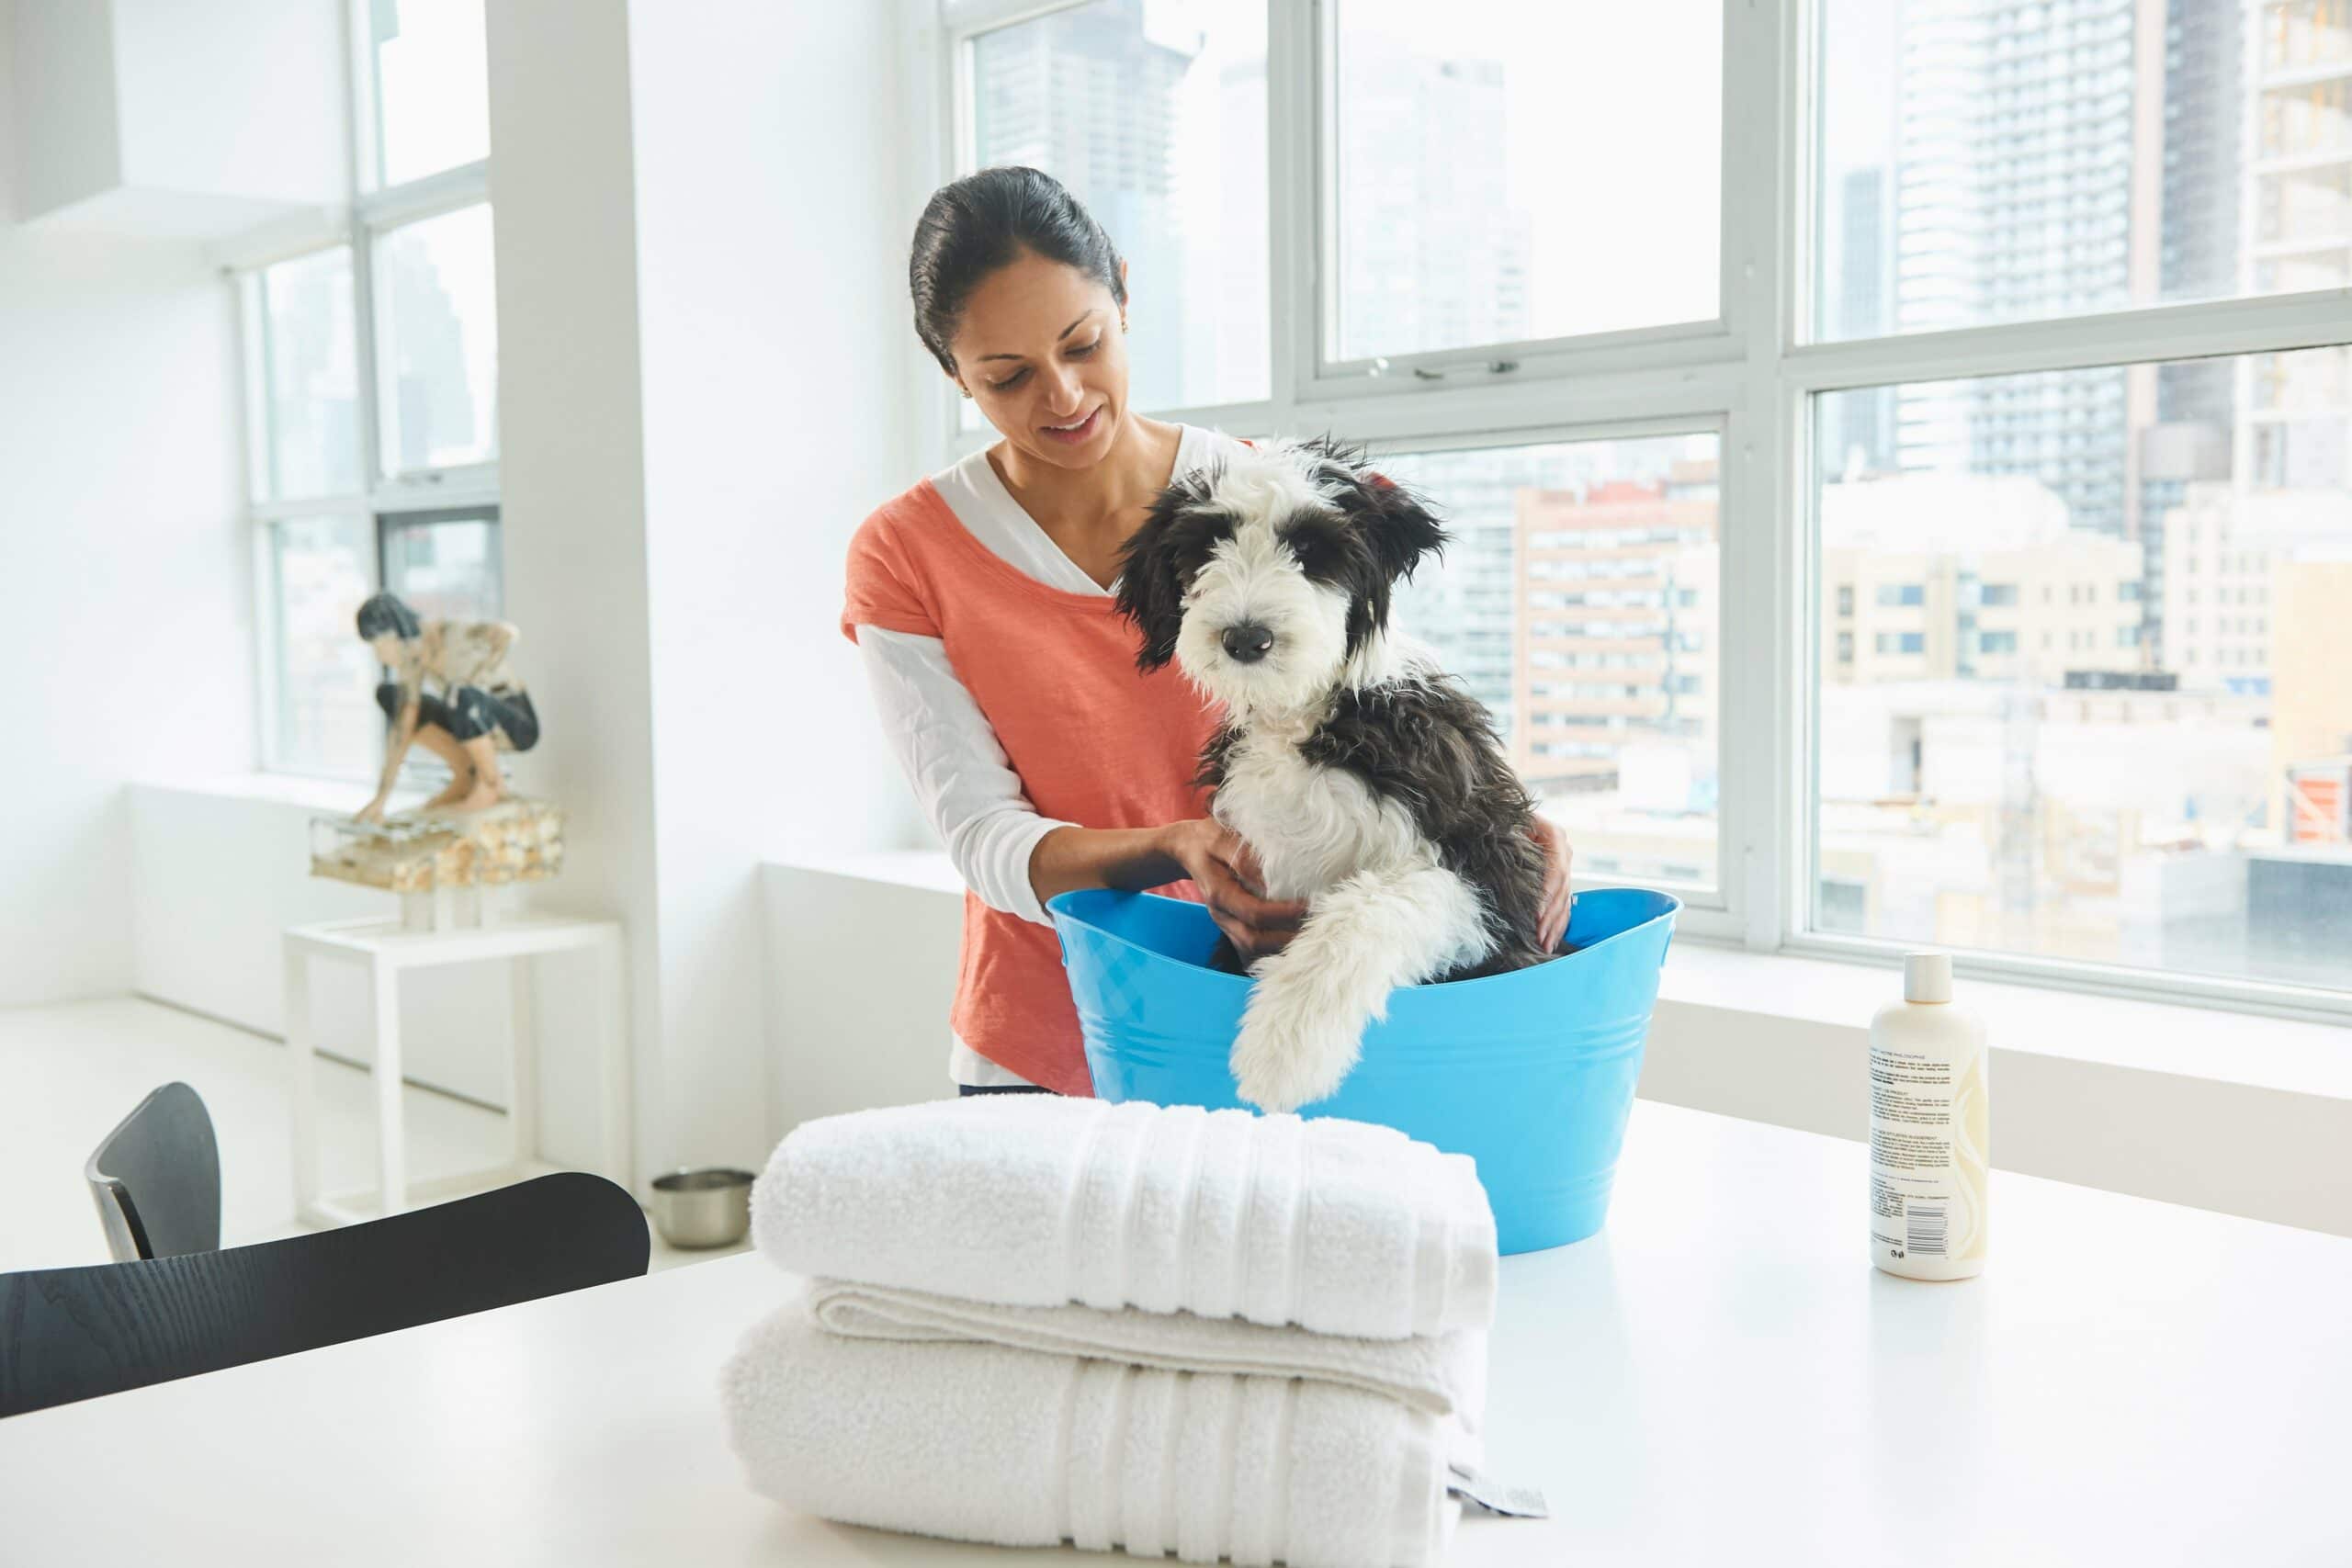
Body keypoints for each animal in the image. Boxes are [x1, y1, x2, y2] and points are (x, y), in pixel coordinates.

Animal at [1110, 434, 1552, 1109]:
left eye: (1313, 549)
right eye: (1208, 544)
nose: (1246, 638)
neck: (1307, 718)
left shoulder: (1487, 872)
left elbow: (1370, 907)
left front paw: (1282, 1050)